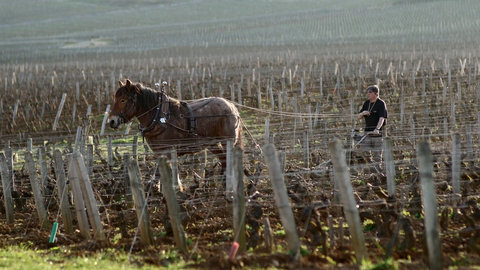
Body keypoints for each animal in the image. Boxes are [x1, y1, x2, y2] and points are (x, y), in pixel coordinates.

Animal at [108, 79, 240, 174]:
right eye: (115, 98)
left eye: (123, 100)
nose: (112, 121)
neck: (159, 116)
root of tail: (231, 105)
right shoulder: (159, 153)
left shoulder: (168, 152)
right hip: (213, 143)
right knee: (223, 160)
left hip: (228, 141)